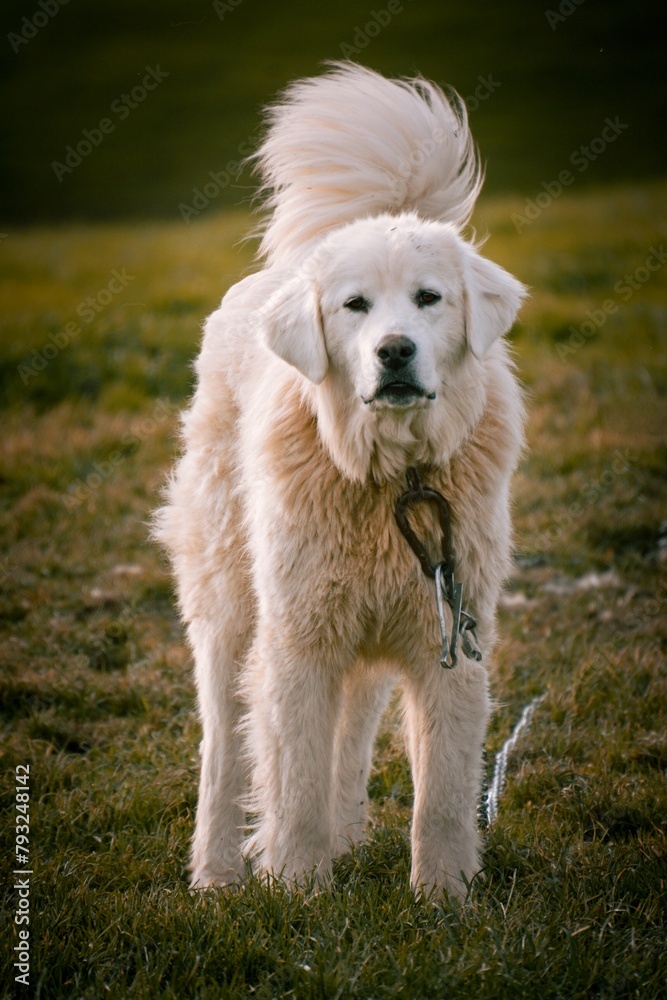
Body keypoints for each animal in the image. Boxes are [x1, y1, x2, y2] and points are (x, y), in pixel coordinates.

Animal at [157, 66, 528, 904]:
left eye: (428, 298)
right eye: (354, 306)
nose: (394, 352)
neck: (395, 476)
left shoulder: (447, 637)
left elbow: (442, 793)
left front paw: (442, 900)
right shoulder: (298, 640)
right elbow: (292, 776)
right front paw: (297, 892)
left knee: (352, 731)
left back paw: (348, 839)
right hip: (230, 608)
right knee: (222, 754)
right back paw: (216, 876)